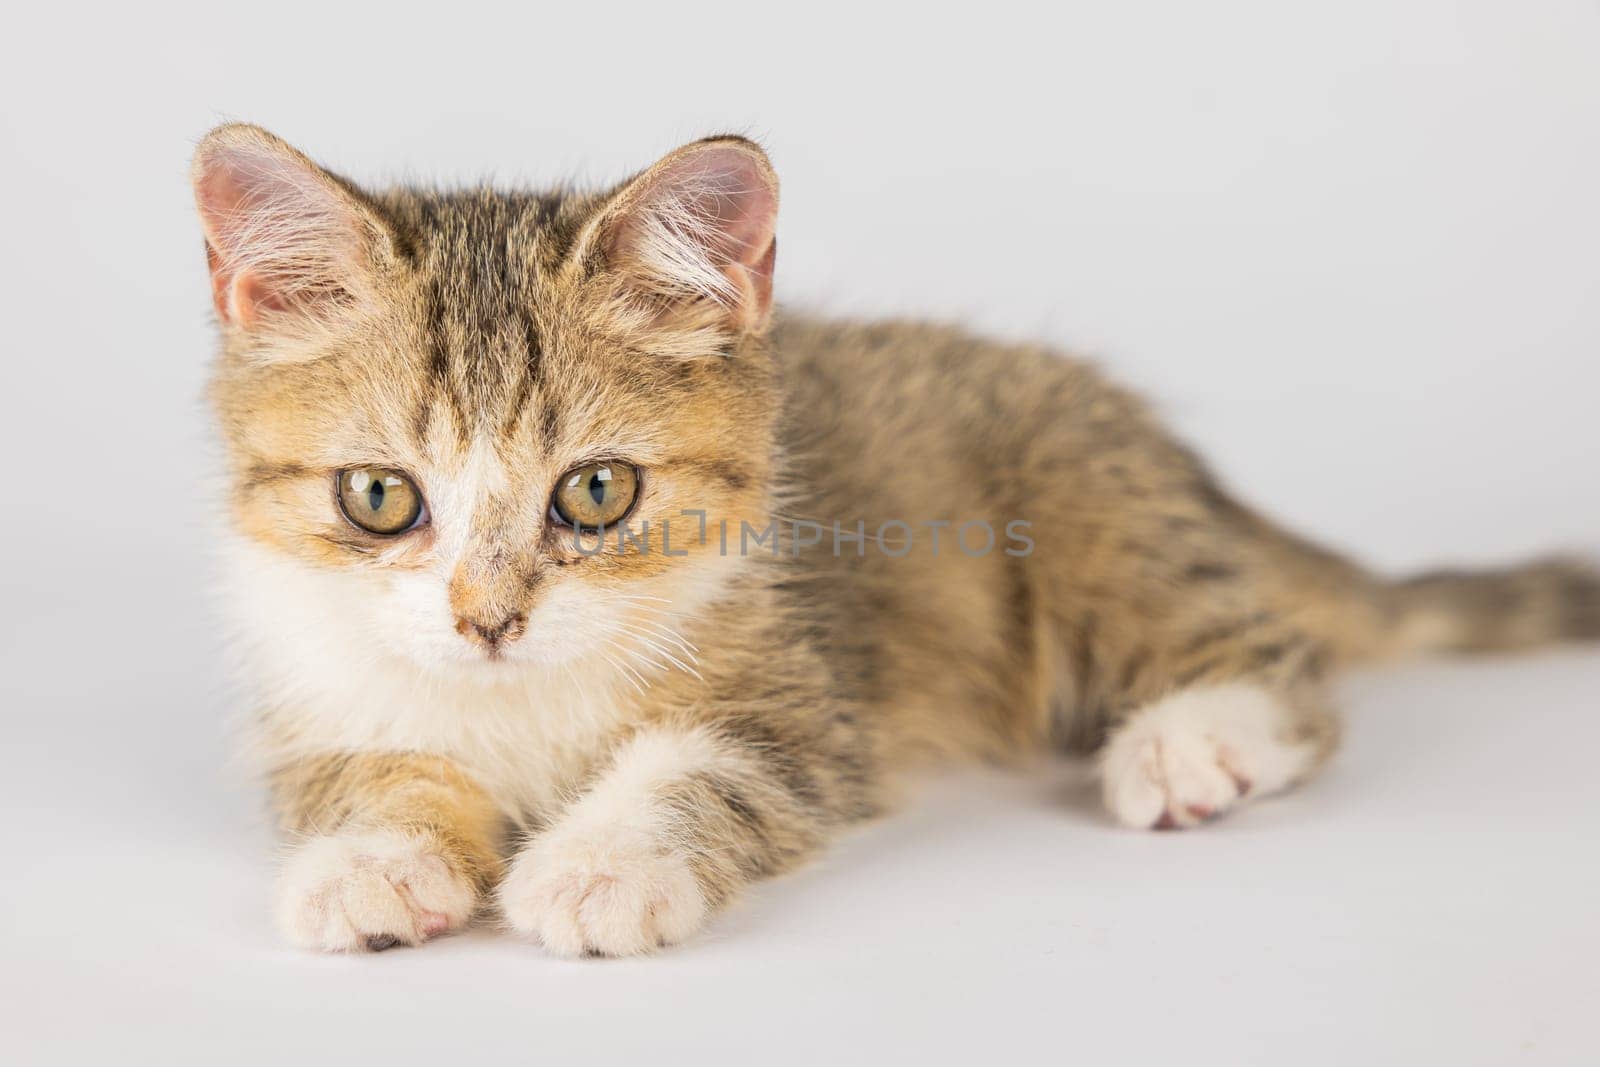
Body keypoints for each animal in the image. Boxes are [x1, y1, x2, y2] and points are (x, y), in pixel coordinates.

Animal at [196, 125, 1600, 959]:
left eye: (594, 491)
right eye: (381, 498)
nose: (487, 619)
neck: (520, 701)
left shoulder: (808, 687)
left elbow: (713, 765)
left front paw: (597, 862)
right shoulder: (313, 686)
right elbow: (356, 769)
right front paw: (373, 857)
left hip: (1081, 512)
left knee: (1276, 659)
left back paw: (1192, 739)